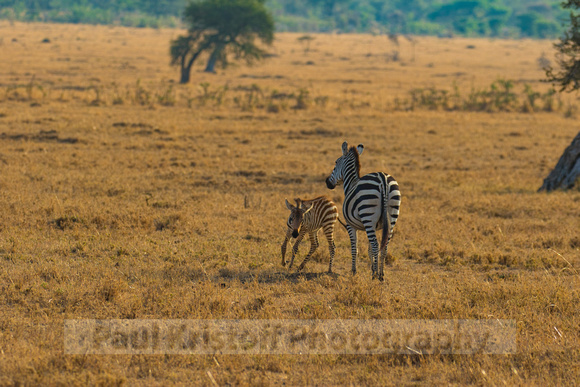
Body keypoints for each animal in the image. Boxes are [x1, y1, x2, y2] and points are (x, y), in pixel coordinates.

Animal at [324, 142, 402, 282]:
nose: (327, 182)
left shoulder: (350, 225)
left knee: (376, 245)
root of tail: (383, 180)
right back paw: (381, 274)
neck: (351, 183)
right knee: (384, 246)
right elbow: (370, 250)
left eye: (336, 162)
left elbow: (355, 248)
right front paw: (372, 268)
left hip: (368, 215)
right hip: (392, 215)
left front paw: (354, 271)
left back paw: (375, 276)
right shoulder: (374, 227)